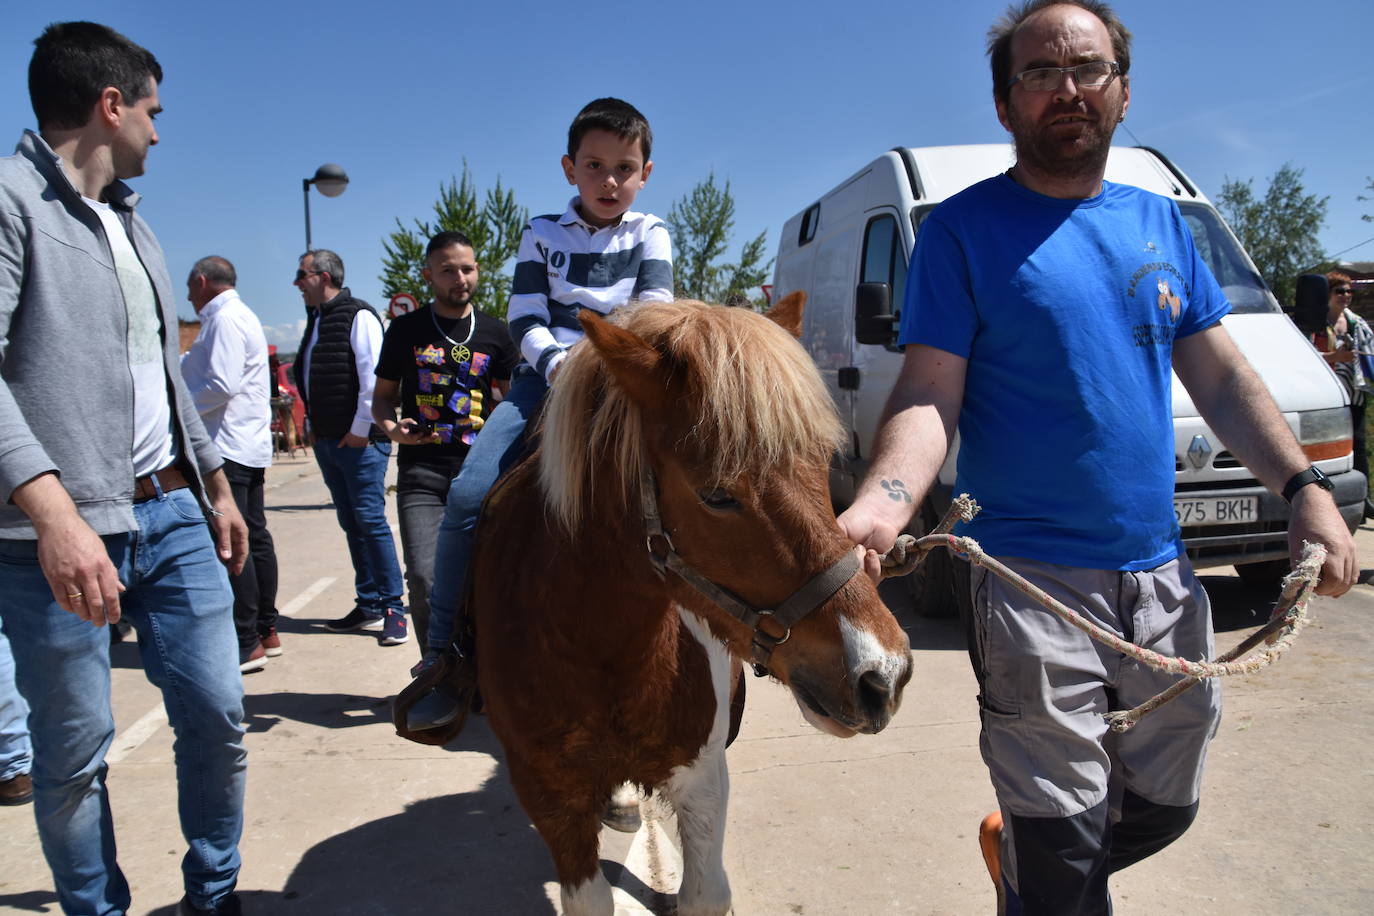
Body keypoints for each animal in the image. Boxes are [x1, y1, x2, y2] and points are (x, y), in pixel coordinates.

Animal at [472, 295, 912, 916]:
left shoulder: (701, 777)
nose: (883, 674)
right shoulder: (551, 797)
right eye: (717, 495)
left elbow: (704, 893)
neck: (603, 652)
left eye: (823, 462)